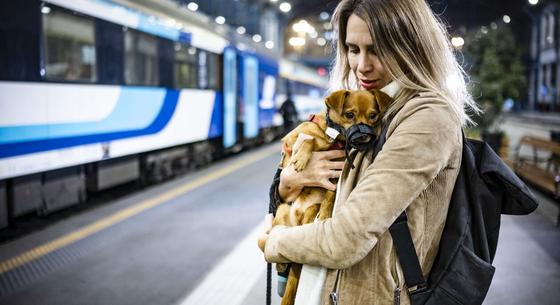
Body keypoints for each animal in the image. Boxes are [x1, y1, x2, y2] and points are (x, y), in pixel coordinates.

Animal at [274, 88, 392, 304]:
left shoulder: (336, 172)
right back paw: (281, 264)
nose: (363, 135)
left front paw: (327, 212)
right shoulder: (292, 140)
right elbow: (309, 139)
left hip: (309, 210)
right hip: (283, 209)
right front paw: (301, 158)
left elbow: (330, 194)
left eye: (373, 116)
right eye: (349, 115)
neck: (333, 137)